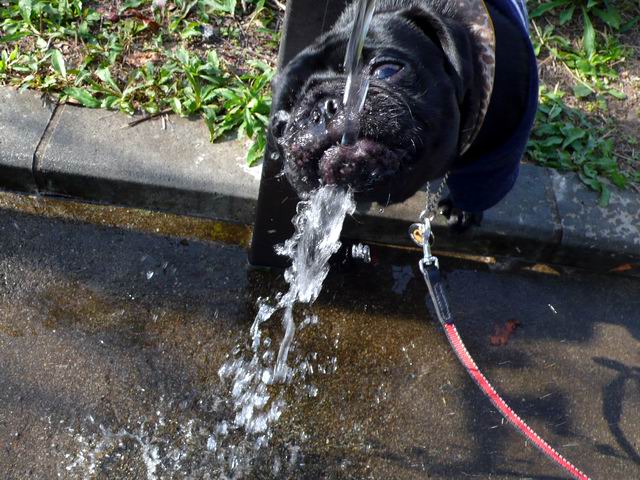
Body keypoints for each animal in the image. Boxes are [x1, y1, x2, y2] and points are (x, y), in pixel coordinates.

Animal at [267, 0, 538, 226]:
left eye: (386, 70)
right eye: (280, 127)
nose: (322, 109)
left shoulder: (501, 153)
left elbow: (479, 186)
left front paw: (462, 211)